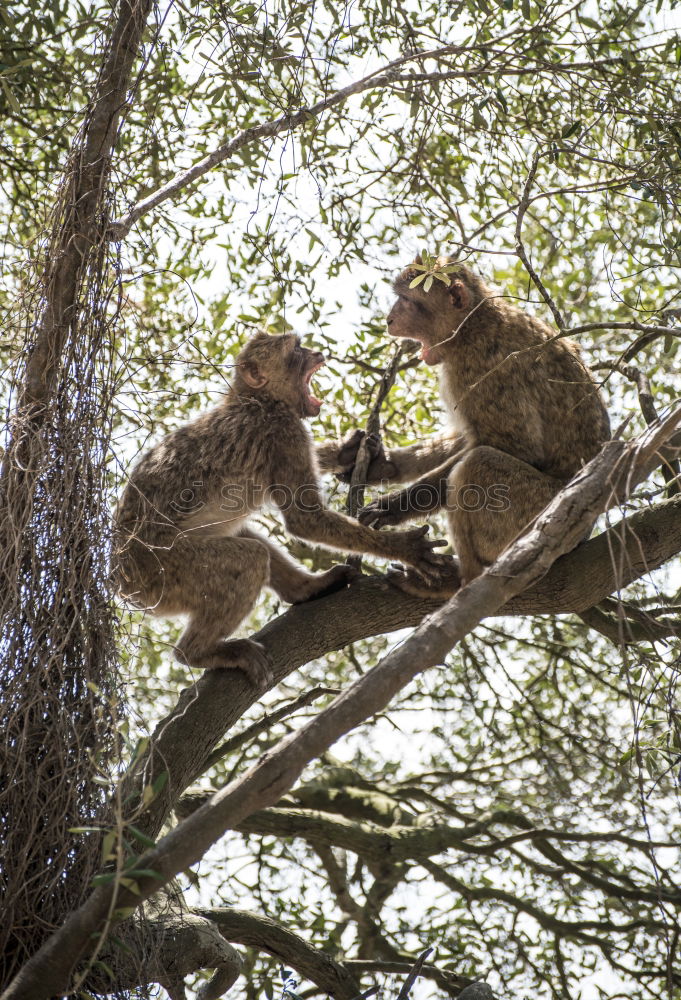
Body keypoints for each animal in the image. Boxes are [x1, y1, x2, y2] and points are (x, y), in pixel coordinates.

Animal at [113, 330, 448, 688]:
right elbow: (306, 520)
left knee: (247, 539)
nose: (316, 353)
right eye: (296, 349)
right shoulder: (284, 431)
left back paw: (306, 588)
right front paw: (405, 548)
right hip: (163, 571)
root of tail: (120, 579)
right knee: (247, 558)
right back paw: (197, 652)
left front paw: (347, 451)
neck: (257, 400)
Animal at [356, 262, 612, 596]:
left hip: (539, 519)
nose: (389, 320)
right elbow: (467, 436)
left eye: (408, 301)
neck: (472, 323)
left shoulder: (481, 366)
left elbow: (512, 447)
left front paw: (392, 507)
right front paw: (382, 464)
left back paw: (460, 583)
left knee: (478, 464)